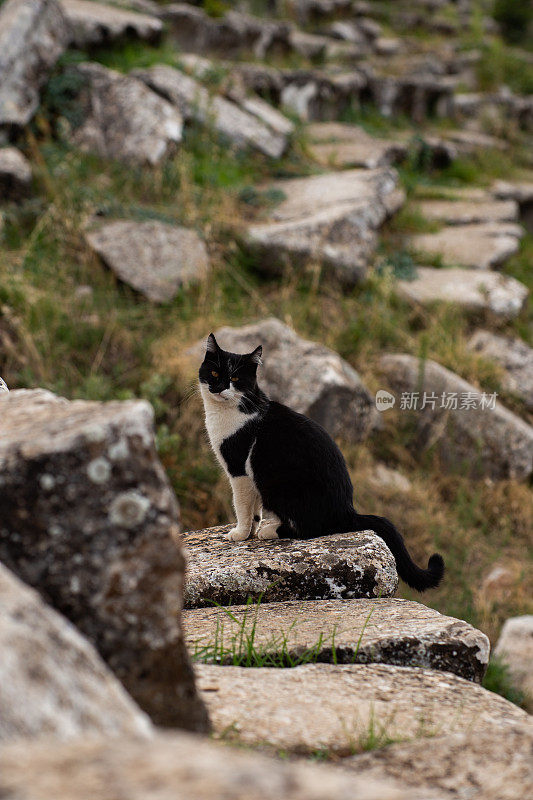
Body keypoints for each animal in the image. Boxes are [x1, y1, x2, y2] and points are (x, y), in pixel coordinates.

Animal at [197, 332, 442, 592]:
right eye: (214, 373)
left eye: (234, 378)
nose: (219, 387)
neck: (231, 412)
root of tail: (347, 510)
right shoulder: (250, 480)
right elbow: (254, 510)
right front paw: (250, 530)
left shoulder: (240, 471)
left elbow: (242, 506)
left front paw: (240, 534)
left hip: (279, 487)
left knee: (311, 528)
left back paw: (271, 530)